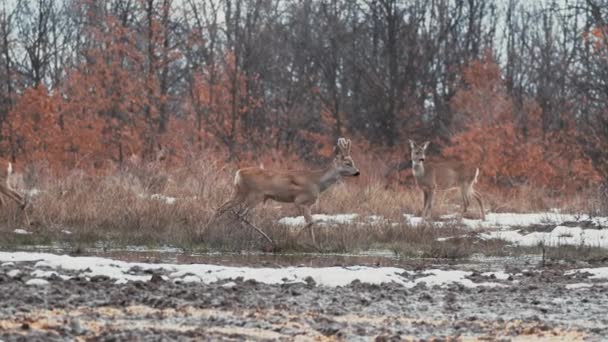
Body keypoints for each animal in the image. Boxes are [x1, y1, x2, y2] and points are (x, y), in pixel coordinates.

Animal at [217, 138, 360, 244]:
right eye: (347, 163)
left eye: (353, 162)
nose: (358, 172)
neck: (317, 183)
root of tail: (238, 173)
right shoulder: (300, 200)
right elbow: (310, 222)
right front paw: (295, 238)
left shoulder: (308, 204)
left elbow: (310, 223)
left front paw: (314, 244)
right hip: (255, 195)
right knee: (241, 215)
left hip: (239, 192)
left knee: (224, 208)